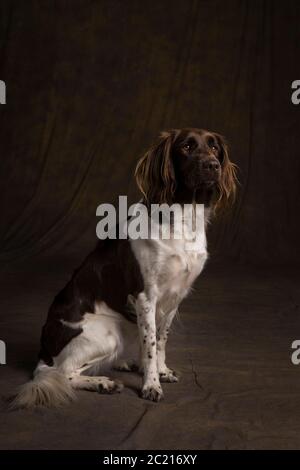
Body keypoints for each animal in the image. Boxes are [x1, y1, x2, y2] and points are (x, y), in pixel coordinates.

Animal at [11, 129, 237, 408]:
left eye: (215, 148)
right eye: (186, 147)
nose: (213, 165)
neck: (182, 218)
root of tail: (43, 353)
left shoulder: (175, 297)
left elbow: (160, 340)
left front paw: (161, 371)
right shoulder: (146, 296)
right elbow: (150, 344)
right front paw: (151, 385)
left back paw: (124, 364)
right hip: (108, 333)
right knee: (63, 373)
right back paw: (102, 382)